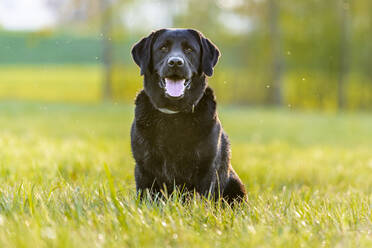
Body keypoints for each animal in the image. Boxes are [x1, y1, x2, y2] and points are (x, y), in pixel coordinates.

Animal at [131, 28, 247, 203]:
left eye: (189, 49)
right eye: (163, 48)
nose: (175, 62)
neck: (174, 115)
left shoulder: (207, 168)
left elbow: (203, 199)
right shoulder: (143, 167)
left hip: (235, 184)